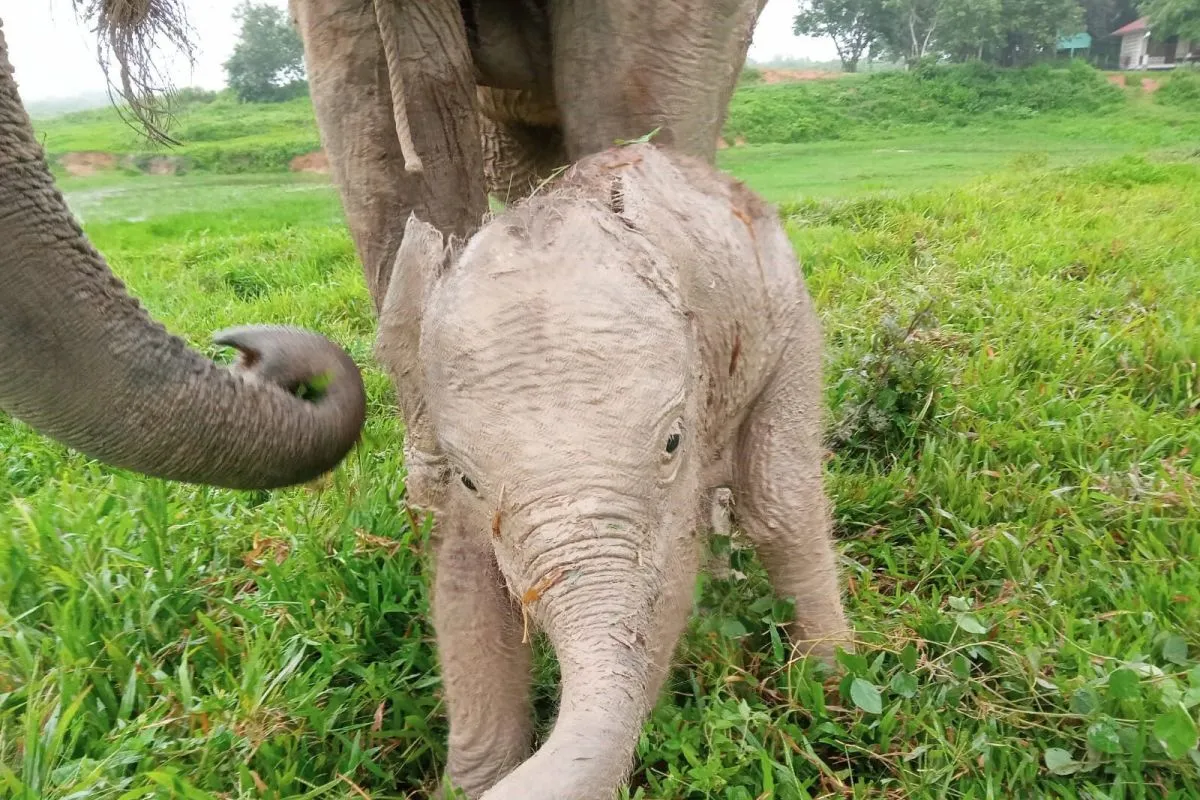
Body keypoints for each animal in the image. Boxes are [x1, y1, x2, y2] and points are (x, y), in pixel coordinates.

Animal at [376, 145, 854, 800]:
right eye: (468, 478)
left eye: (672, 441)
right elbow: (464, 586)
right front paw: (467, 784)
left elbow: (664, 596)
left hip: (787, 315)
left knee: (778, 499)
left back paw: (829, 686)